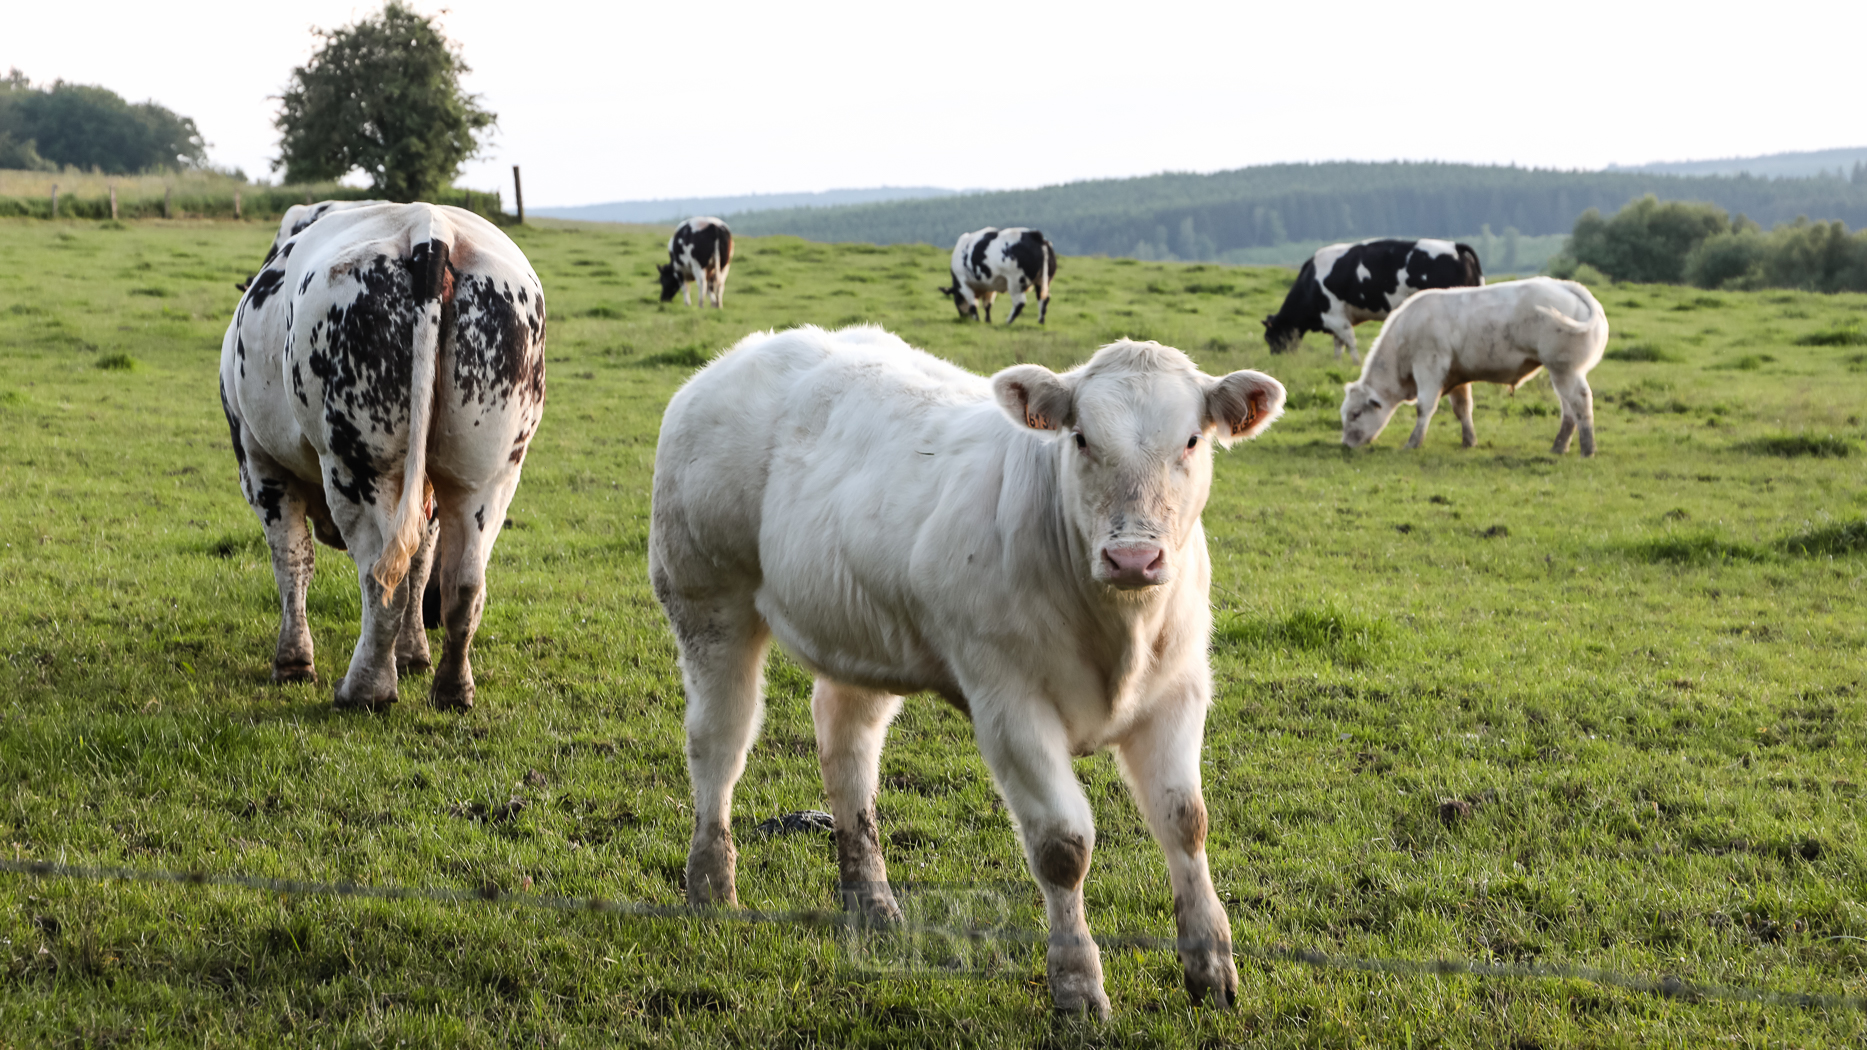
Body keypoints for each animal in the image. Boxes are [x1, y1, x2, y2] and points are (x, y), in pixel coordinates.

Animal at [220, 199, 545, 706]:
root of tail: (430, 231)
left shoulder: (258, 464)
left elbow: (292, 560)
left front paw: (293, 661)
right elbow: (421, 565)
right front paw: (413, 655)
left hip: (358, 467)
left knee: (378, 577)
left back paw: (366, 687)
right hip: (486, 475)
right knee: (462, 581)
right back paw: (452, 687)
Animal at [649, 323, 1291, 1008]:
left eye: (1192, 440)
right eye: (1082, 438)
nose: (1133, 558)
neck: (1119, 628)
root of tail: (751, 349)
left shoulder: (1179, 691)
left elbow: (1185, 822)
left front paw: (1212, 969)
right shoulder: (1008, 702)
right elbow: (1062, 845)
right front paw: (1078, 987)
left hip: (863, 629)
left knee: (846, 746)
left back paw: (872, 903)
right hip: (707, 599)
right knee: (720, 743)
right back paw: (712, 887)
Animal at [1262, 239, 1478, 362]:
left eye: (1270, 337)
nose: (1276, 359)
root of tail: (1454, 246)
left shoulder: (1335, 316)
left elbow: (1349, 341)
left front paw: (1356, 362)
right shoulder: (1337, 319)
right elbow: (1338, 344)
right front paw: (1337, 362)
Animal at [1336, 278, 1613, 454]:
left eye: (1356, 414)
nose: (1345, 444)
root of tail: (1565, 285)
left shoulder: (1429, 367)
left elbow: (1424, 407)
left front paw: (1413, 443)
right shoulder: (1457, 376)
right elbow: (1462, 409)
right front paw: (1469, 442)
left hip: (1565, 370)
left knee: (1580, 402)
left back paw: (1588, 449)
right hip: (1561, 372)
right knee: (1569, 410)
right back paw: (1559, 446)